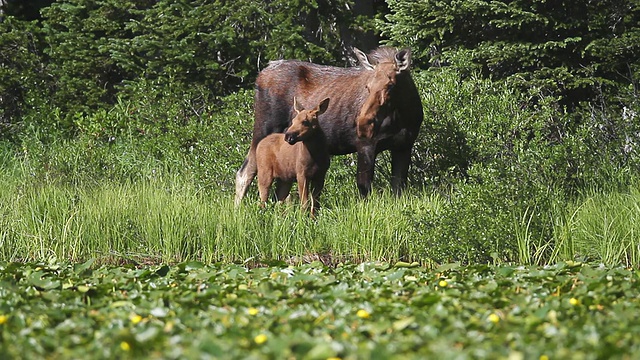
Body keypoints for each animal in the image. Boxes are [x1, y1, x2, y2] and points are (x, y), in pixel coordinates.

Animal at [232, 46, 422, 204]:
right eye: (367, 86)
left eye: (390, 85)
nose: (362, 123)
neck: (402, 116)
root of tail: (259, 76)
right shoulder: (365, 144)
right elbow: (364, 188)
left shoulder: (404, 146)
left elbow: (398, 189)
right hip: (264, 130)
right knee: (245, 172)